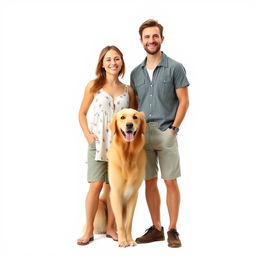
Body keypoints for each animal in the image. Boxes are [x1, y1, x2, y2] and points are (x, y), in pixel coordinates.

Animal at [106, 107, 146, 246]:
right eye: (122, 117)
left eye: (135, 117)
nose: (129, 125)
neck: (127, 155)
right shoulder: (115, 194)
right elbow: (120, 223)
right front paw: (123, 241)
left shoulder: (133, 195)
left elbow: (128, 223)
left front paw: (130, 240)